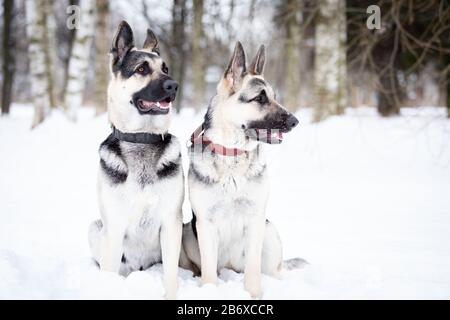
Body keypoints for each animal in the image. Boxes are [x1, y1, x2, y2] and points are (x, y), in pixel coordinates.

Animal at [89, 21, 184, 298]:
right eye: (142, 69)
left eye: (165, 69)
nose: (174, 85)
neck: (141, 138)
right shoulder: (114, 226)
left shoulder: (172, 223)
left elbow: (171, 277)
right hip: (95, 229)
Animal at [180, 42, 306, 298]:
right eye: (260, 98)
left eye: (274, 97)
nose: (295, 121)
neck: (232, 156)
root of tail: (230, 267)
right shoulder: (205, 224)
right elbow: (209, 273)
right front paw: (209, 291)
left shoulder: (255, 220)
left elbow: (253, 270)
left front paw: (254, 294)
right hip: (188, 231)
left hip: (269, 231)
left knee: (272, 269)